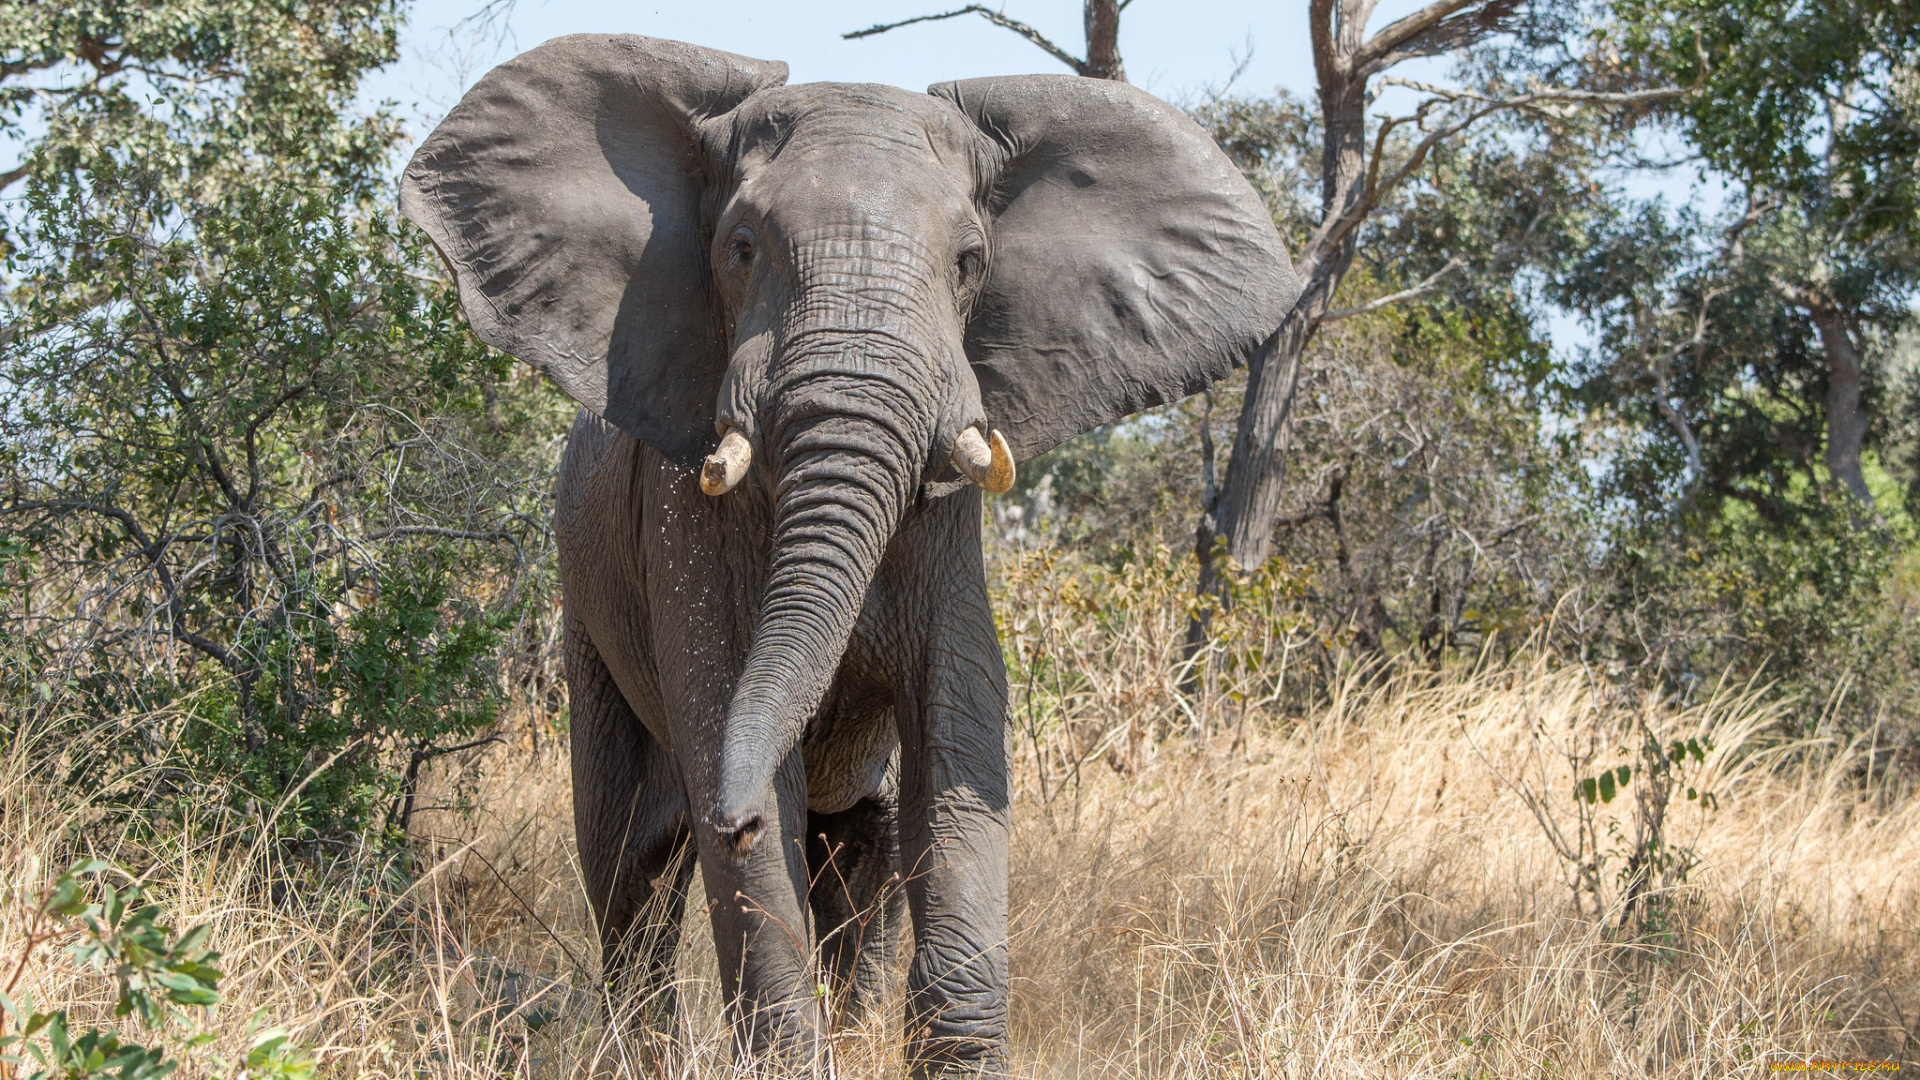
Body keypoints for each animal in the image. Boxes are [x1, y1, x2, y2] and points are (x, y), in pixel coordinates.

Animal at [405, 31, 1305, 1068]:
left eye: (969, 262)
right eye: (741, 249)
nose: (732, 815)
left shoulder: (949, 529)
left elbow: (955, 747)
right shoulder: (682, 527)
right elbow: (735, 754)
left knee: (861, 859)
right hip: (584, 610)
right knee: (629, 870)